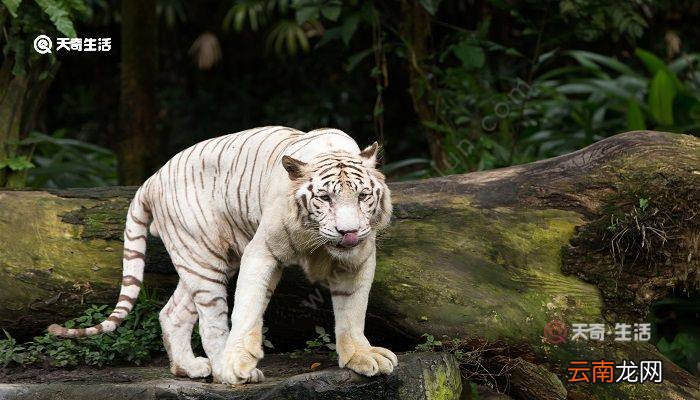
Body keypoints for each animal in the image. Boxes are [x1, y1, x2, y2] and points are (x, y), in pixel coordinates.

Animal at [48, 126, 396, 384]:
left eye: (363, 196)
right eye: (324, 198)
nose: (348, 232)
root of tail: (151, 179)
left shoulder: (359, 259)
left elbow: (352, 310)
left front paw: (361, 357)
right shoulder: (262, 251)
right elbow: (247, 308)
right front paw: (239, 362)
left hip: (205, 259)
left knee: (172, 312)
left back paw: (188, 368)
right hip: (203, 258)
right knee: (211, 322)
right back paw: (224, 370)